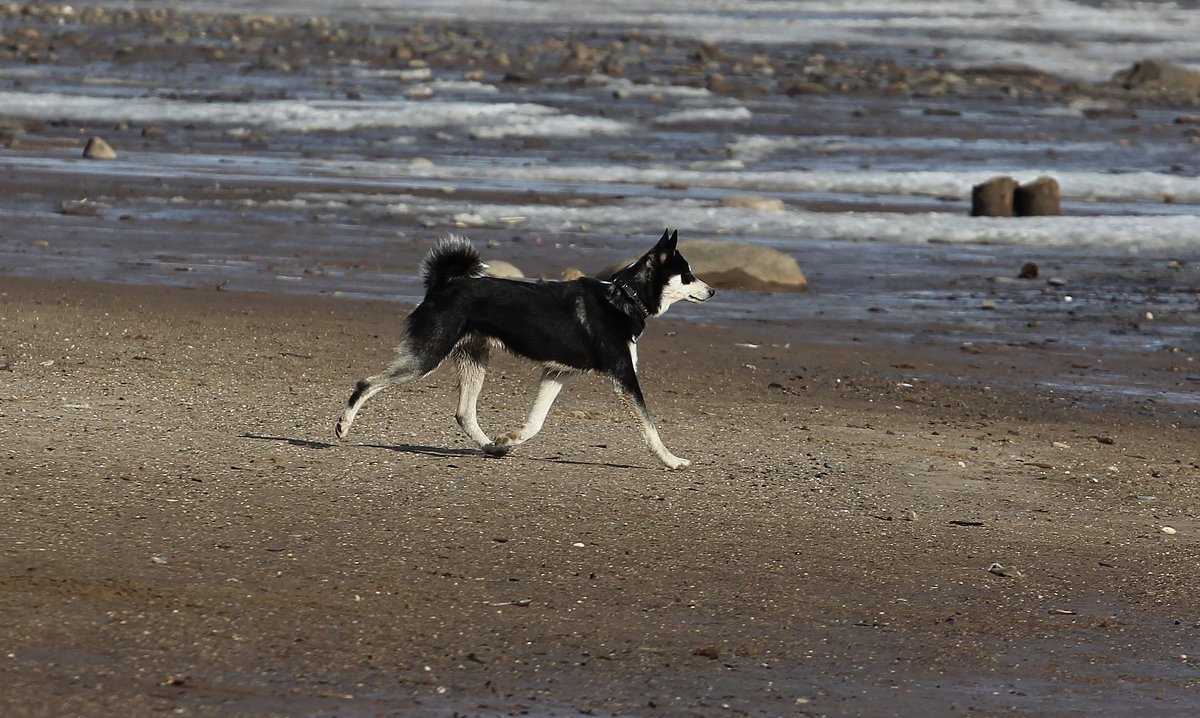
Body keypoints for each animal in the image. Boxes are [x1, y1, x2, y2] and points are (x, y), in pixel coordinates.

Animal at [333, 228, 715, 470]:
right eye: (687, 274)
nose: (712, 292)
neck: (624, 298)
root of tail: (443, 286)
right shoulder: (624, 377)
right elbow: (650, 428)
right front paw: (671, 460)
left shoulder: (557, 372)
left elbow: (535, 422)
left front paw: (509, 438)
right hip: (427, 355)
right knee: (366, 383)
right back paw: (343, 426)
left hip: (474, 359)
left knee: (464, 413)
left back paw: (491, 446)